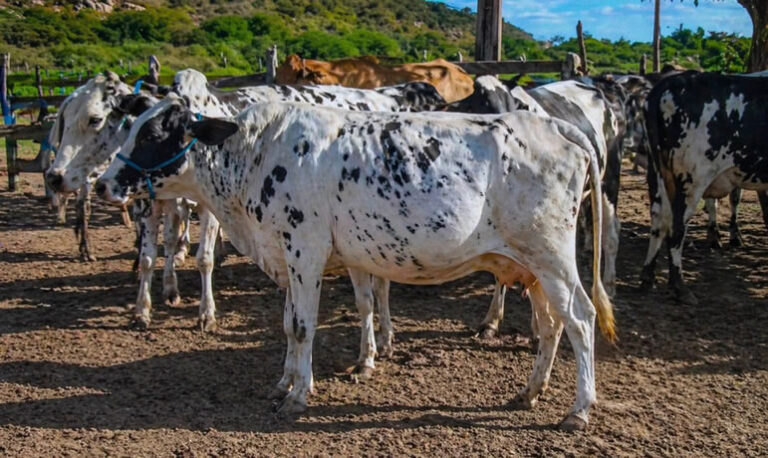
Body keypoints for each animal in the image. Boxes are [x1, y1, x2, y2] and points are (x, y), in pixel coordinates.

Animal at [97, 95, 615, 430]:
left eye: (155, 133)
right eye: (131, 126)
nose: (103, 183)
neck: (257, 154)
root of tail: (554, 125)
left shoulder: (304, 248)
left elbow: (303, 325)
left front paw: (298, 394)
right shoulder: (290, 256)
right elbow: (289, 324)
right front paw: (283, 382)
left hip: (552, 255)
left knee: (580, 318)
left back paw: (579, 409)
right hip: (531, 266)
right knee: (551, 325)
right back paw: (529, 392)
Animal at [640, 71, 768, 304]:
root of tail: (668, 84)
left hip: (658, 174)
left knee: (658, 219)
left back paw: (648, 277)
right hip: (693, 179)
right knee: (676, 227)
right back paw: (679, 287)